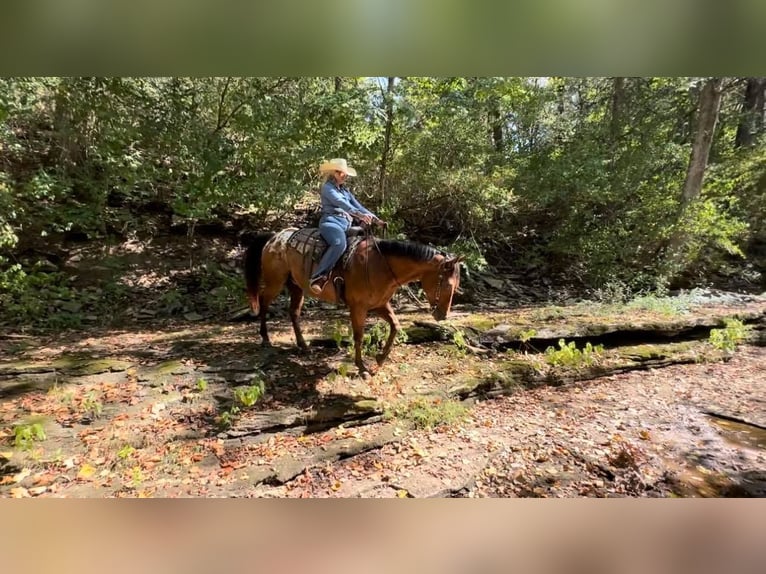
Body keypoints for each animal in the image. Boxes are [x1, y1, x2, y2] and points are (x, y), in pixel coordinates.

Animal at [244, 227, 462, 376]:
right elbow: (358, 335)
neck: (381, 265)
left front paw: (379, 359)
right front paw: (362, 367)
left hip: (296, 287)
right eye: (447, 285)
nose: (442, 316)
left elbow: (395, 326)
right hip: (275, 282)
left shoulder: (379, 305)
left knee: (294, 312)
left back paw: (303, 345)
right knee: (264, 302)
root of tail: (274, 237)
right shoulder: (358, 307)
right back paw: (265, 338)